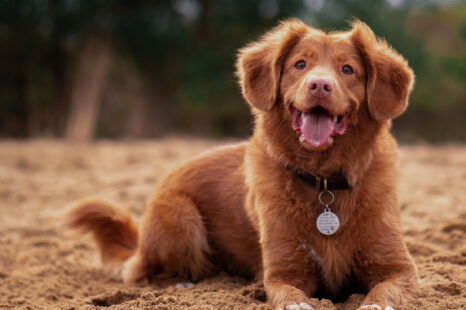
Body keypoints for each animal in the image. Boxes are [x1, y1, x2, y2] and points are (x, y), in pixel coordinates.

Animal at [65, 19, 418, 310]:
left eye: (347, 69)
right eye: (300, 64)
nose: (319, 84)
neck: (324, 181)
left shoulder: (399, 268)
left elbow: (383, 293)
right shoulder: (282, 272)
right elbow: (289, 295)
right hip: (182, 218)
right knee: (144, 274)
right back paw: (182, 284)